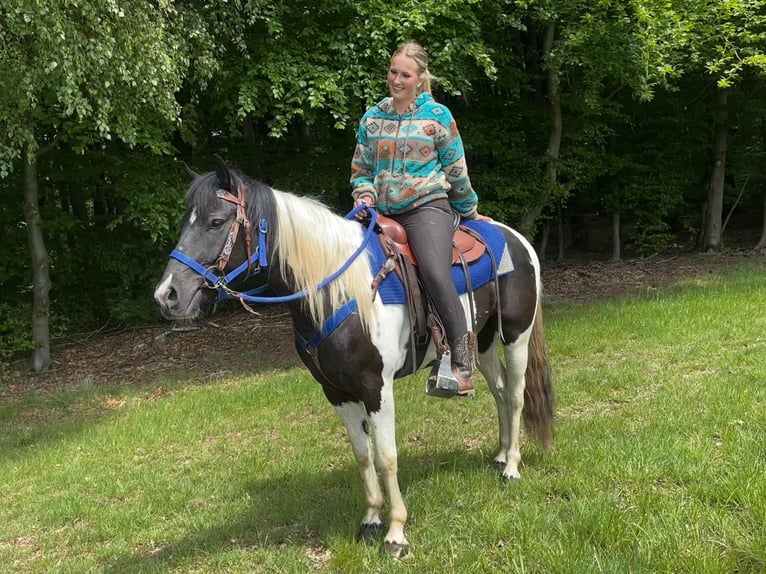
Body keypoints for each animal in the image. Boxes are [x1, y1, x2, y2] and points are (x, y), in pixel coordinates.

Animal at [153, 156, 554, 558]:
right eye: (186, 222)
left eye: (215, 222)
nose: (167, 295)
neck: (339, 288)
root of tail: (517, 239)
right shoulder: (337, 392)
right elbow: (363, 456)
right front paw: (371, 521)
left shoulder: (377, 387)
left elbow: (386, 457)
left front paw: (396, 534)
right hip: (481, 343)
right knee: (499, 391)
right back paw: (500, 455)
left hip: (515, 336)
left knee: (515, 395)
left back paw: (512, 467)